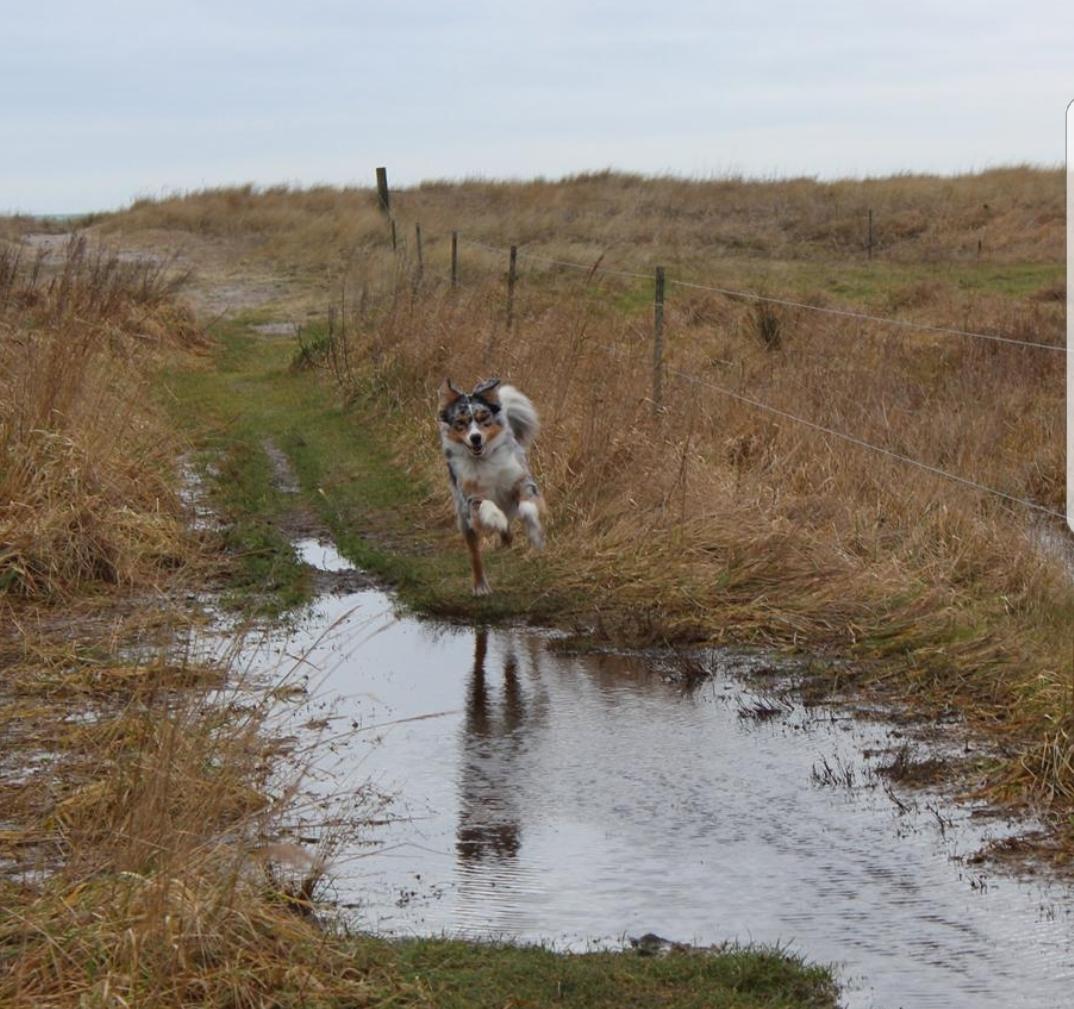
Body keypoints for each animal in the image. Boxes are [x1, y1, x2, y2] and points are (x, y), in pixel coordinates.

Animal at [436, 380, 545, 601]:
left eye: (482, 418)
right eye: (461, 422)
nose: (476, 438)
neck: (484, 459)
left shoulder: (521, 480)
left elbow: (527, 507)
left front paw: (536, 536)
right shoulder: (470, 498)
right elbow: (485, 505)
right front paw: (496, 518)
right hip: (464, 520)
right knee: (474, 554)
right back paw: (480, 585)